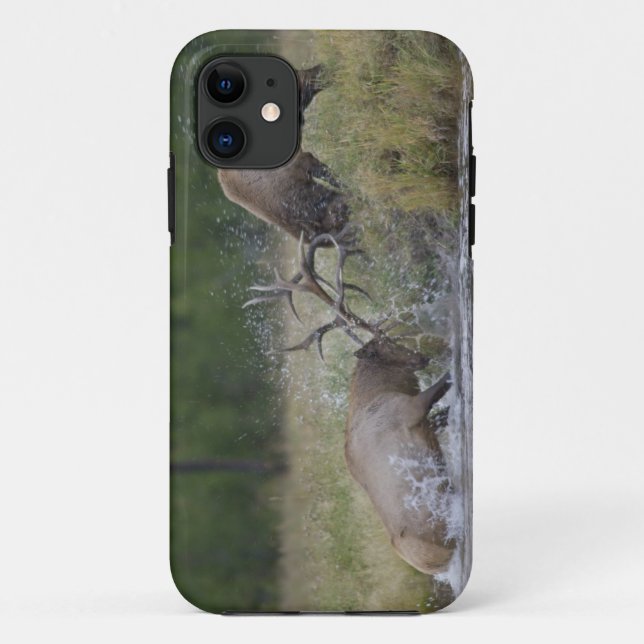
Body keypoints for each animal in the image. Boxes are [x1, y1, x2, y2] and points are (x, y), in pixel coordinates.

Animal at [245, 232, 456, 575]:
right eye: (384, 341)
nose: (420, 358)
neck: (380, 392)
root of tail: (432, 565)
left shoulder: (425, 420)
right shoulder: (409, 410)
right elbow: (448, 381)